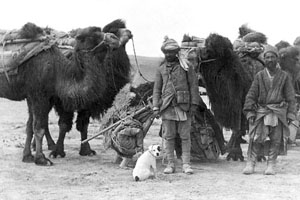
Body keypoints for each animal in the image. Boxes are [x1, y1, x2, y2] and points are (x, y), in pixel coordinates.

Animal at [0, 22, 124, 166]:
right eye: (92, 36)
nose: (114, 38)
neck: (57, 70)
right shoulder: (39, 94)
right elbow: (39, 128)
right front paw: (41, 159)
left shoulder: (32, 94)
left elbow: (30, 126)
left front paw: (27, 157)